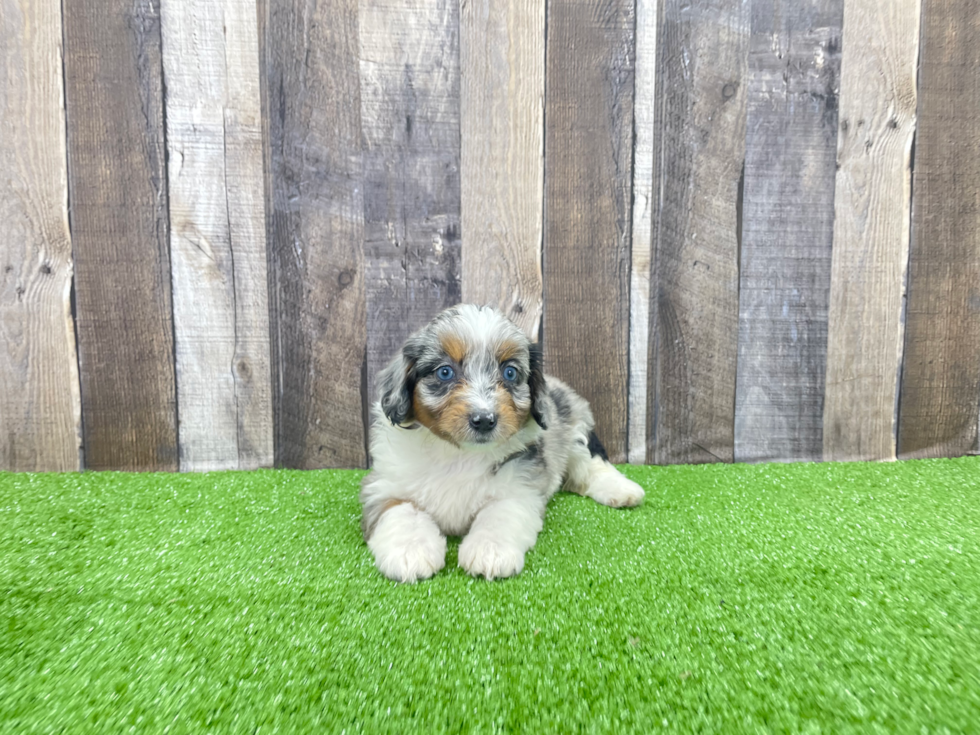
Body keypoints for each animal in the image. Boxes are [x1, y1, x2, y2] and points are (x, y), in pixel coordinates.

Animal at [358, 302, 644, 584]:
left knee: (591, 464)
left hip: (575, 430)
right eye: (445, 372)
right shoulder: (385, 486)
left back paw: (622, 491)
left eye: (510, 372)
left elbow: (499, 514)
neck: (458, 454)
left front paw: (489, 551)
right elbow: (401, 512)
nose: (484, 420)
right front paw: (410, 551)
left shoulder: (519, 487)